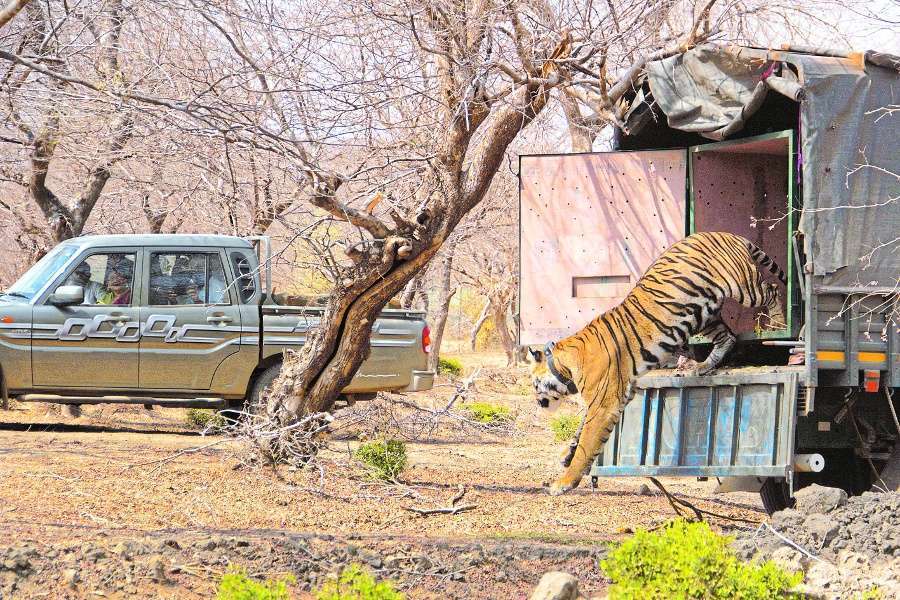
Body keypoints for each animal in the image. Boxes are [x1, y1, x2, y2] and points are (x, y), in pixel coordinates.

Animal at [526, 231, 786, 495]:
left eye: (534, 384)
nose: (537, 403)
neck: (565, 364)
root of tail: (725, 233)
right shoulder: (615, 397)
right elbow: (580, 430)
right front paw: (566, 454)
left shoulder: (603, 404)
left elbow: (587, 442)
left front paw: (564, 482)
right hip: (704, 314)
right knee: (727, 337)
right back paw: (701, 367)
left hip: (742, 286)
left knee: (772, 289)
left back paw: (779, 324)